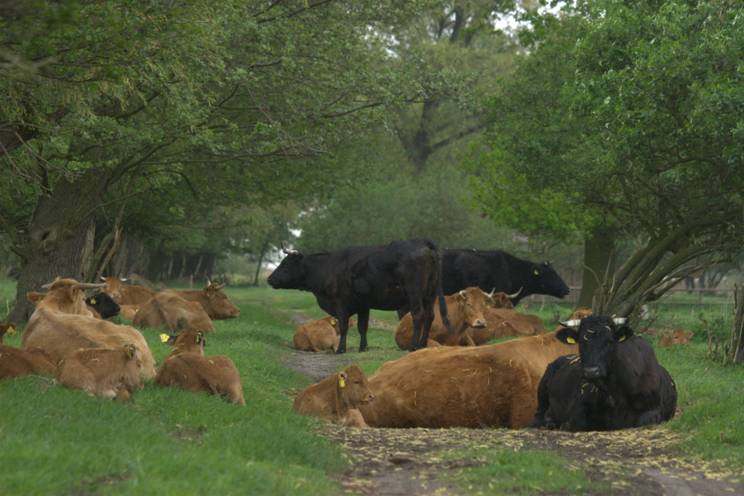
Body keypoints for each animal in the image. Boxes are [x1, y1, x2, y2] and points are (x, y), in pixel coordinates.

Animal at [268, 239, 450, 352]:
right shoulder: (363, 305)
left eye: (285, 264)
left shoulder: (340, 303)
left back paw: (414, 346)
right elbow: (363, 327)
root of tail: (422, 242)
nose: (269, 279)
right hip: (429, 295)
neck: (329, 266)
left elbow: (344, 326)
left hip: (415, 294)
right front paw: (363, 348)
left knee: (418, 316)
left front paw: (341, 349)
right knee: (430, 316)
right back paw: (422, 344)